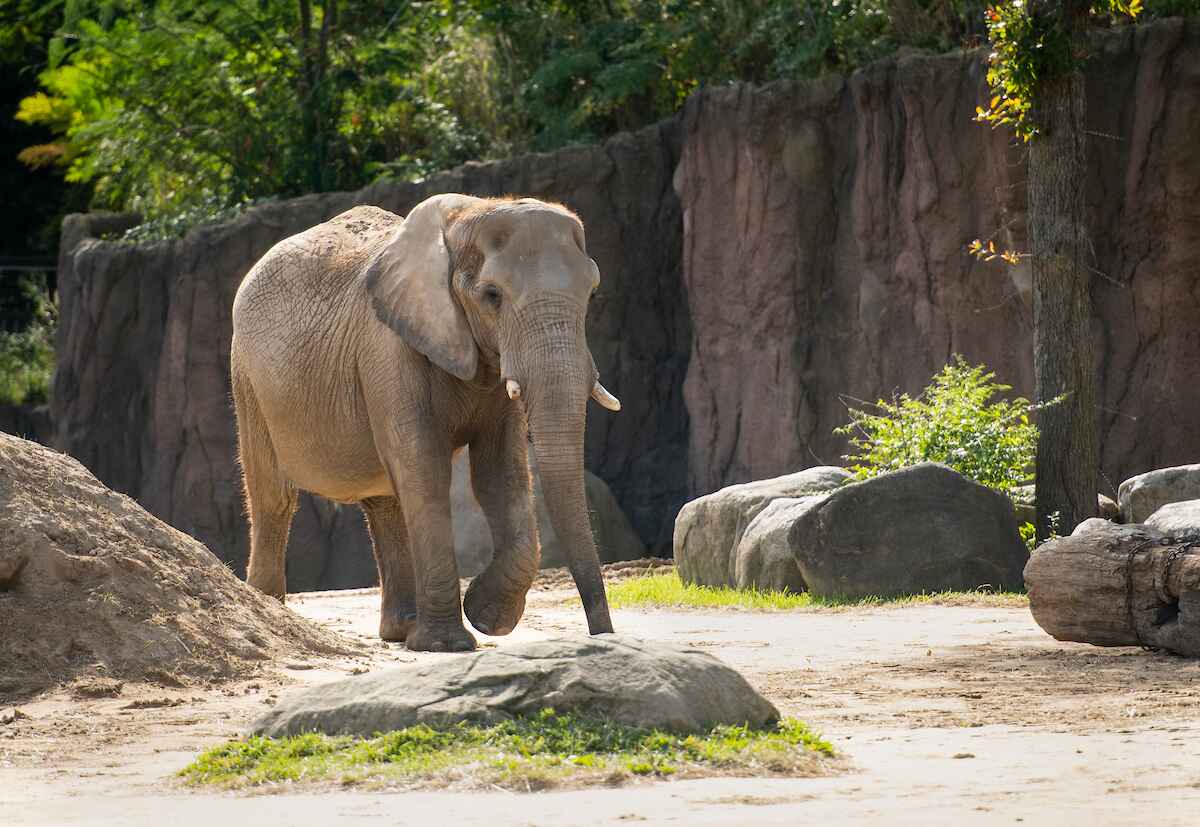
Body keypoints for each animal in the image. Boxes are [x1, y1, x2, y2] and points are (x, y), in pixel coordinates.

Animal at [235, 195, 628, 652]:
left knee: (385, 501)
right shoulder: (387, 347)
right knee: (274, 496)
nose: (603, 631)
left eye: (592, 292)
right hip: (248, 379)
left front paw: (485, 616)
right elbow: (424, 469)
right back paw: (269, 606)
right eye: (492, 295)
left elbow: (501, 474)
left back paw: (401, 630)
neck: (467, 217)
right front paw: (450, 643)